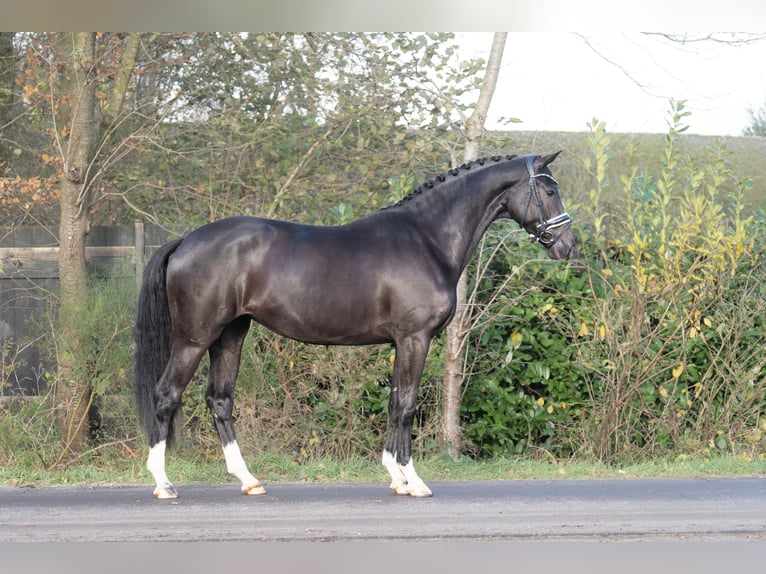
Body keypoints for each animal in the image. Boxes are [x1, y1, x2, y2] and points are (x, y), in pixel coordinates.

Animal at [135, 153, 576, 500]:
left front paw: (397, 477)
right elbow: (406, 406)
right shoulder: (415, 339)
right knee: (166, 395)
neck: (426, 239)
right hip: (194, 337)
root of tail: (187, 240)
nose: (567, 245)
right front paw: (413, 480)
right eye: (549, 190)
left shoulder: (401, 342)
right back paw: (163, 483)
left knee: (220, 401)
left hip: (230, 335)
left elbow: (395, 402)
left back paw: (248, 480)